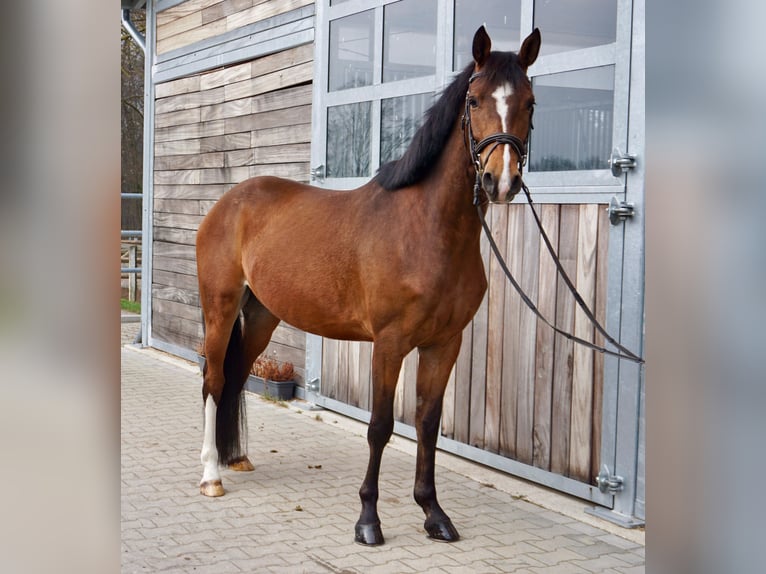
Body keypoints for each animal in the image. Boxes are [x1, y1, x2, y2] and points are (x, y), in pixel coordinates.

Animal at [195, 25, 540, 546]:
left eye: (530, 103)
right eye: (475, 100)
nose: (500, 181)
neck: (428, 230)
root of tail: (228, 202)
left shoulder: (445, 344)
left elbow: (427, 424)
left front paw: (434, 514)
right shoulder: (390, 343)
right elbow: (380, 426)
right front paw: (368, 521)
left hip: (261, 315)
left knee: (236, 377)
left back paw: (236, 458)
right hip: (219, 307)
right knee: (214, 381)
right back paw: (211, 474)